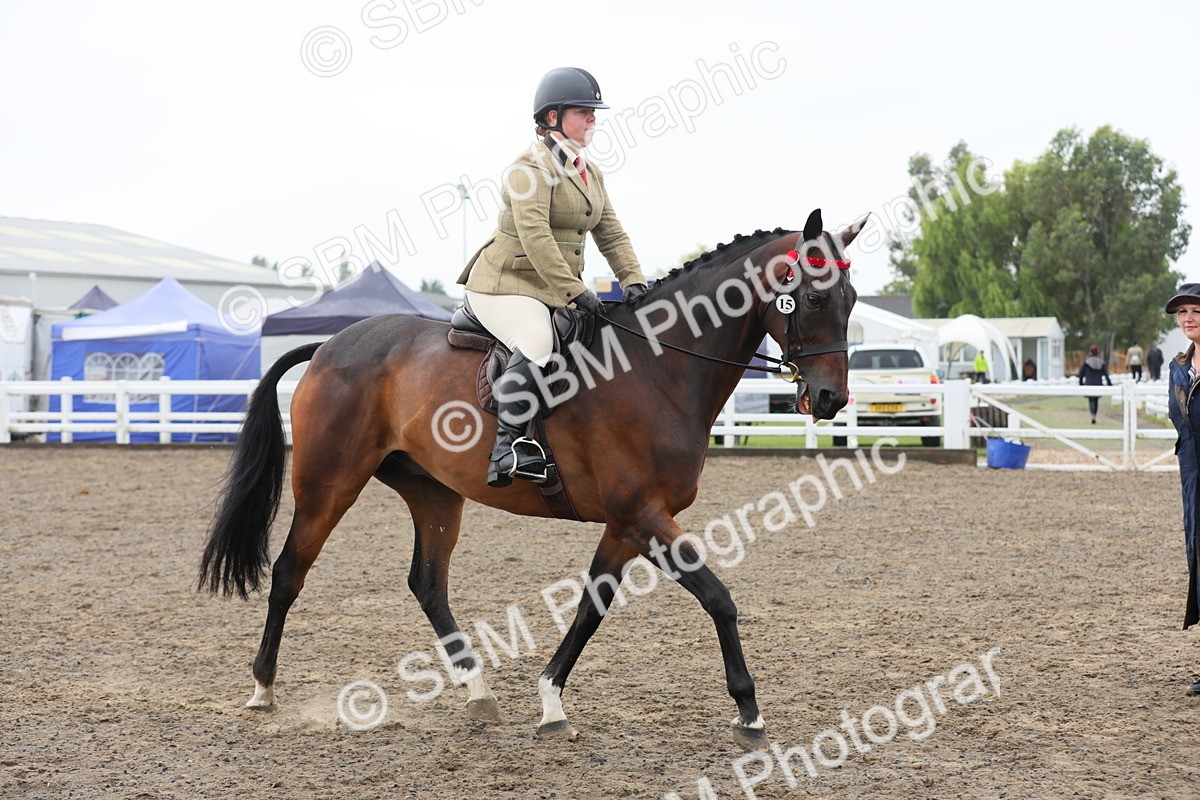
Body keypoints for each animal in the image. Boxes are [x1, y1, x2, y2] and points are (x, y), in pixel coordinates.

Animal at [199, 208, 863, 750]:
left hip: (433, 492)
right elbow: (718, 597)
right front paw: (749, 711)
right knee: (290, 572)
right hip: (329, 483)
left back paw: (478, 693)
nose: (830, 399)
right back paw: (262, 690)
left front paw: (550, 703)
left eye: (853, 298)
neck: (658, 368)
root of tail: (330, 345)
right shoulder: (643, 514)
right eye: (811, 300)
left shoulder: (627, 522)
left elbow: (592, 606)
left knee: (427, 584)